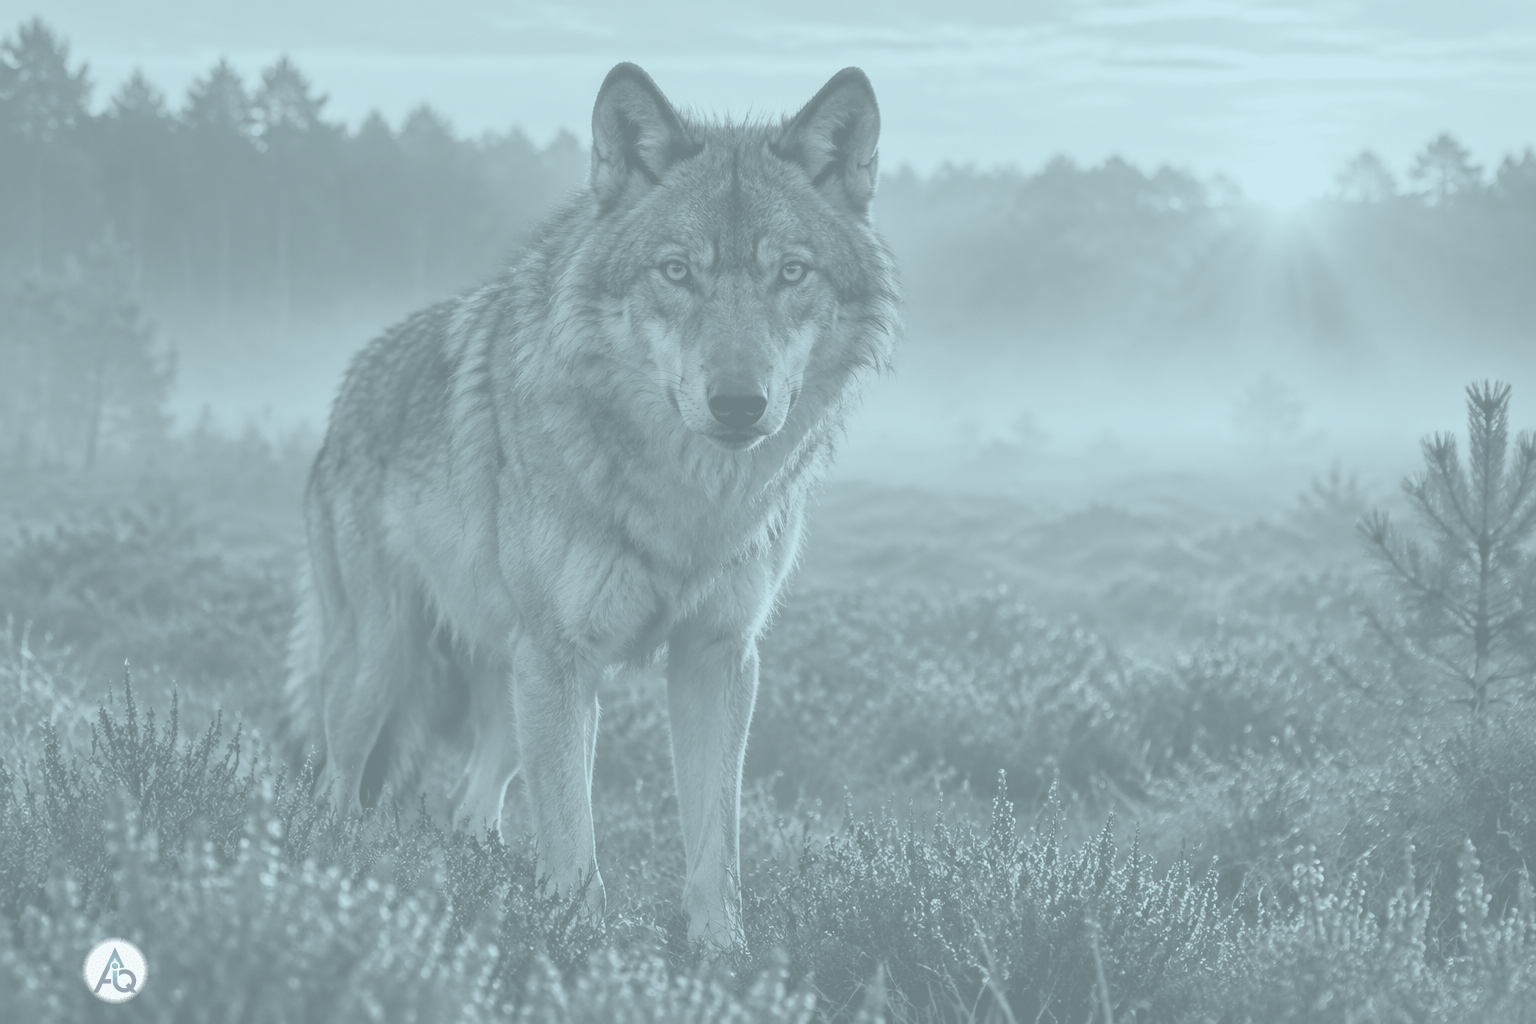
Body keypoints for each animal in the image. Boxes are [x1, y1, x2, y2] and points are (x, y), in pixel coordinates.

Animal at [285, 62, 899, 949]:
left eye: (791, 273)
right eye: (677, 271)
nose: (738, 404)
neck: (688, 501)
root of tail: (348, 384)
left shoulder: (716, 656)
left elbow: (716, 841)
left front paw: (723, 957)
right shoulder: (563, 657)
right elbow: (574, 842)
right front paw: (579, 949)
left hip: (517, 688)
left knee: (475, 802)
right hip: (388, 663)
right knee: (338, 778)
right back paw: (334, 873)